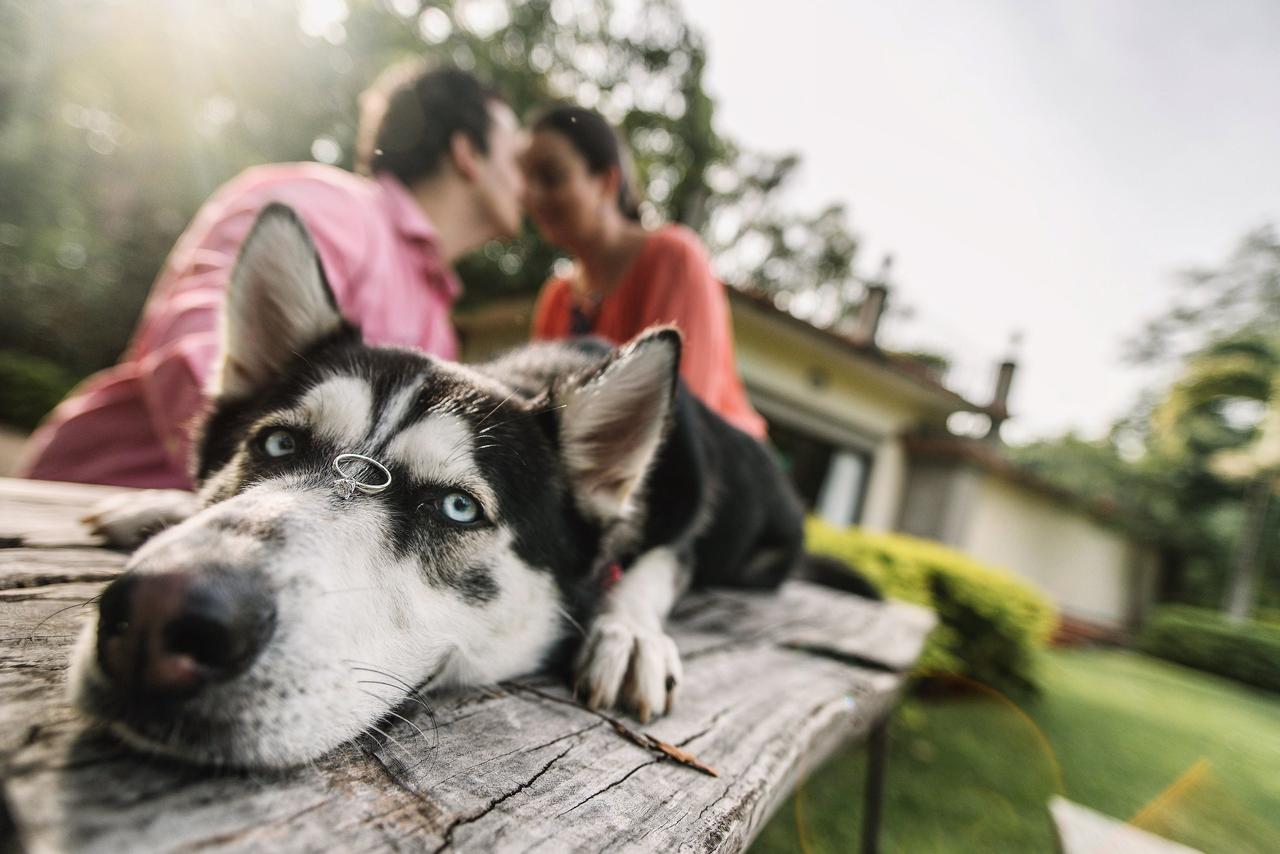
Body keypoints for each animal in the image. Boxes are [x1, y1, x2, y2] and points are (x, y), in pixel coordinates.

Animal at [72, 204, 839, 768]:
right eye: (278, 444)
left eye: (457, 507)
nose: (158, 614)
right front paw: (157, 505)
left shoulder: (684, 516)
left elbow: (652, 569)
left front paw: (629, 634)